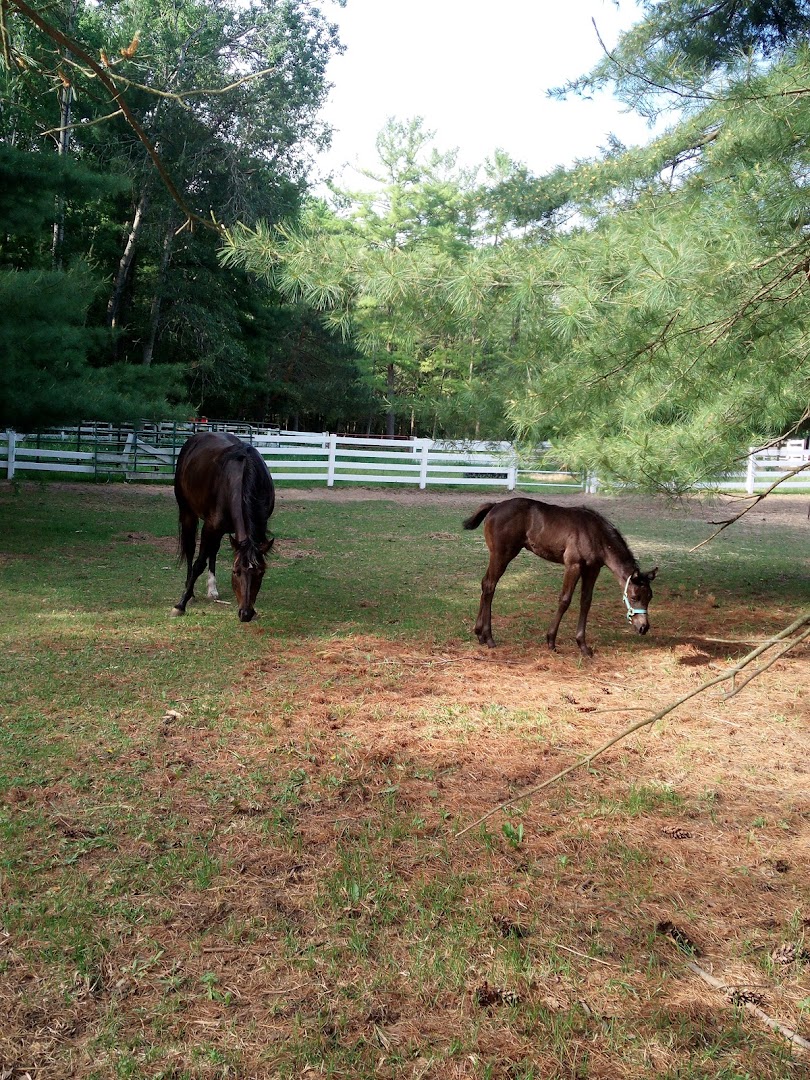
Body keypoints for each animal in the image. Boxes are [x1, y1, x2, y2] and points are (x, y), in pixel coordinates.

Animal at [171, 432, 276, 626]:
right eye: (235, 572)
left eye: (261, 573)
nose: (245, 613)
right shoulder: (209, 527)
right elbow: (198, 564)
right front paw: (180, 605)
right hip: (188, 513)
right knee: (190, 550)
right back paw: (190, 592)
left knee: (213, 551)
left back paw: (212, 589)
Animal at [462, 498, 660, 656]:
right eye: (634, 597)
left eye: (650, 597)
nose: (644, 627)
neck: (596, 534)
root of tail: (495, 505)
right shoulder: (573, 565)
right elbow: (565, 600)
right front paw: (551, 641)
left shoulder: (592, 569)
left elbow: (586, 602)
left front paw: (583, 646)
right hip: (502, 555)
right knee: (489, 585)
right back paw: (488, 637)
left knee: (485, 584)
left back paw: (479, 633)